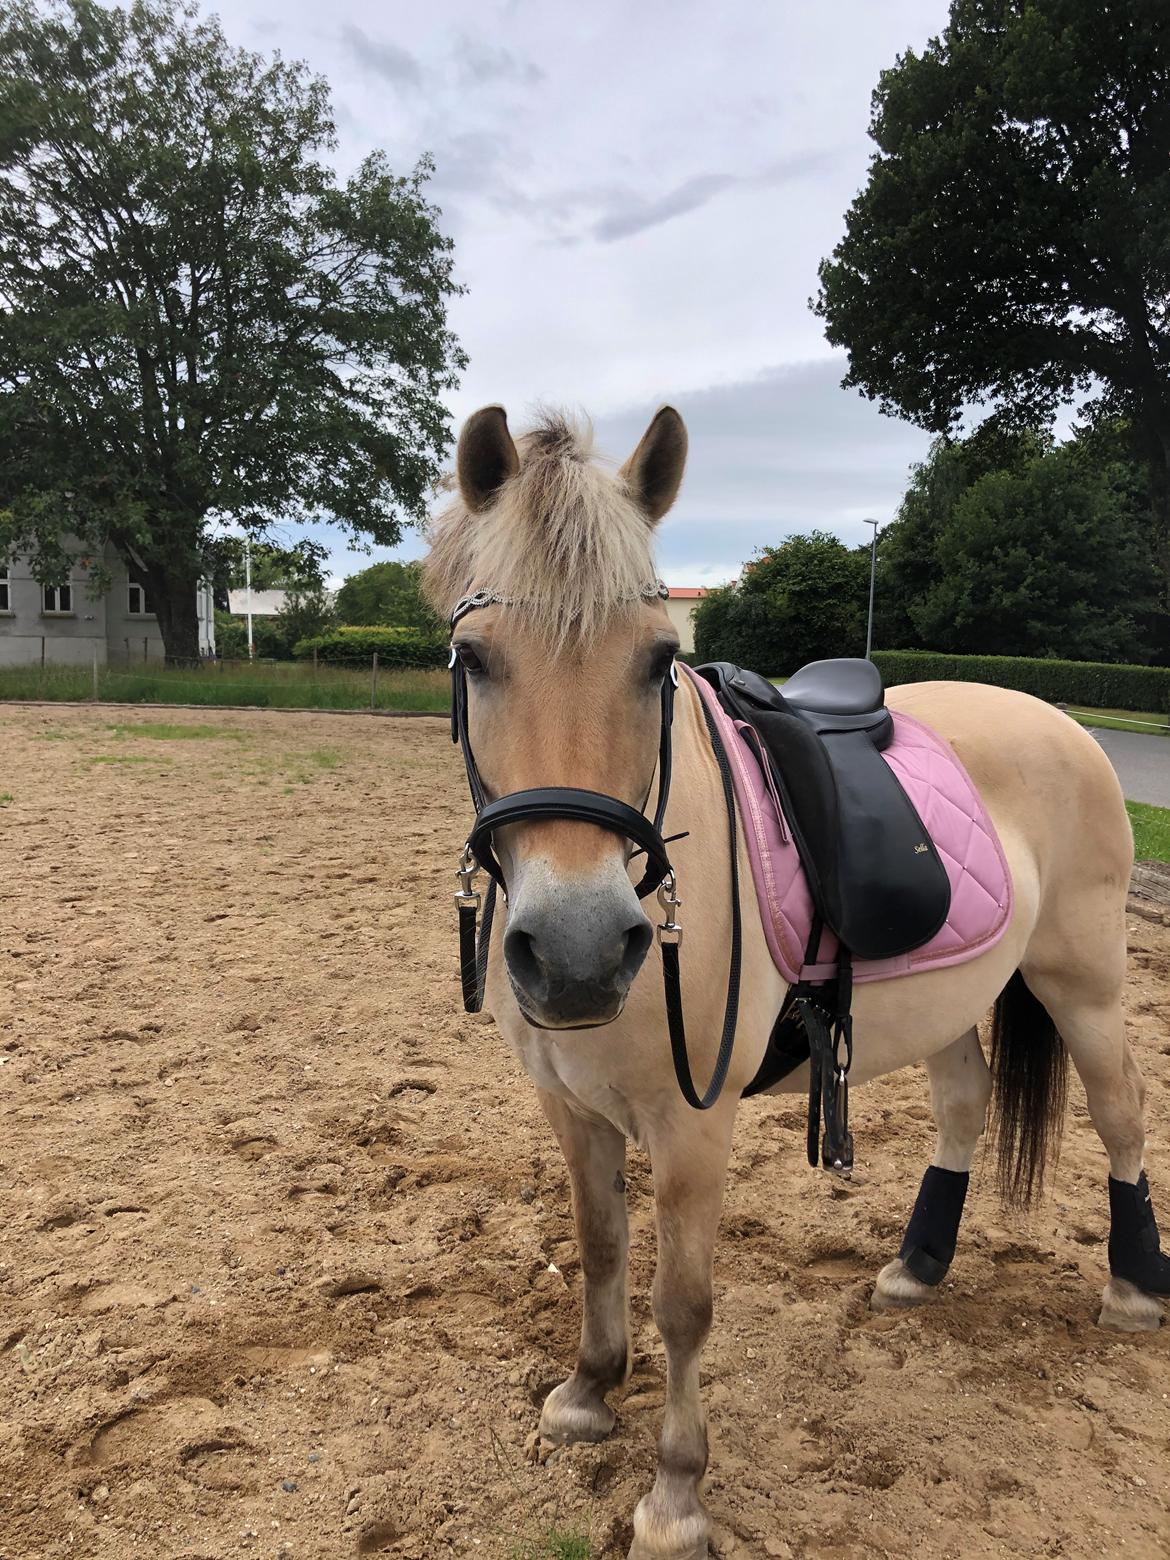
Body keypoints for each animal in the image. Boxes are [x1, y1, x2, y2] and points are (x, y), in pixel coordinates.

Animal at [421, 405, 1166, 1560]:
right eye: (473, 658)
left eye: (658, 662)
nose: (583, 949)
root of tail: (1056, 719)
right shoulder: (570, 1108)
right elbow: (598, 1247)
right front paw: (588, 1394)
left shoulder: (693, 1123)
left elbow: (684, 1301)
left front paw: (677, 1494)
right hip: (950, 997)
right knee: (966, 1102)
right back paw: (919, 1265)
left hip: (1080, 983)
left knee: (1121, 1114)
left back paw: (1133, 1291)